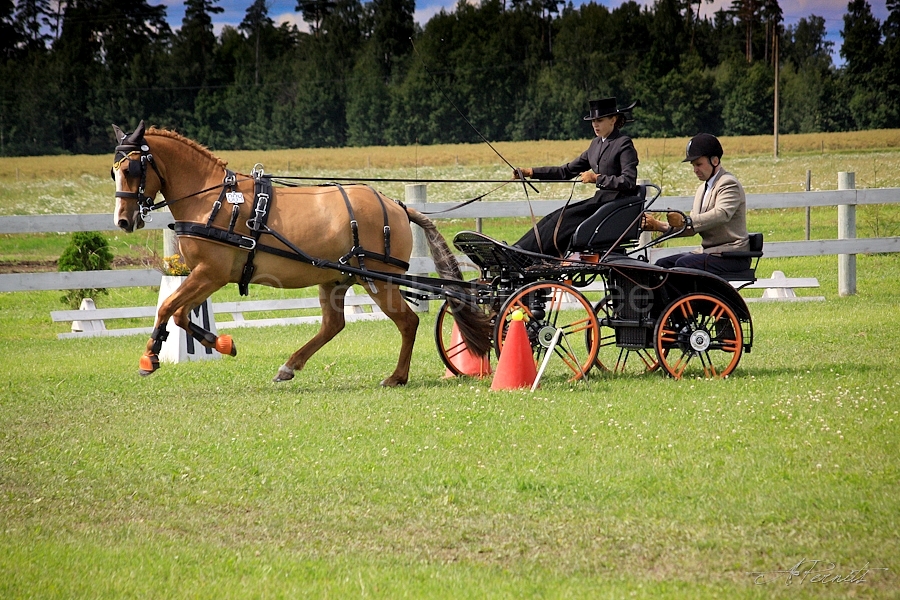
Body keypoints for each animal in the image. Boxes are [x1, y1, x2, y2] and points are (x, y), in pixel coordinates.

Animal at [111, 121, 491, 386]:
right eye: (114, 171)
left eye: (131, 169)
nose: (123, 221)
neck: (211, 199)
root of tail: (396, 205)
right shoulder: (206, 276)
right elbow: (179, 313)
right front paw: (219, 343)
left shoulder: (211, 273)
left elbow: (168, 307)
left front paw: (151, 357)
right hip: (336, 279)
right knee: (333, 325)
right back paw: (289, 366)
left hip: (380, 281)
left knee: (407, 322)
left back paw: (396, 376)